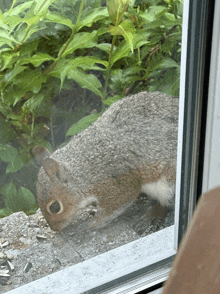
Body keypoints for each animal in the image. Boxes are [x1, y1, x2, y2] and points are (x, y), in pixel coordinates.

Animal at [34, 92, 179, 232]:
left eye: (55, 207)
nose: (54, 229)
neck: (82, 172)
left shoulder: (117, 183)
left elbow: (112, 209)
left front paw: (87, 226)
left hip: (168, 185)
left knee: (166, 204)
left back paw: (151, 215)